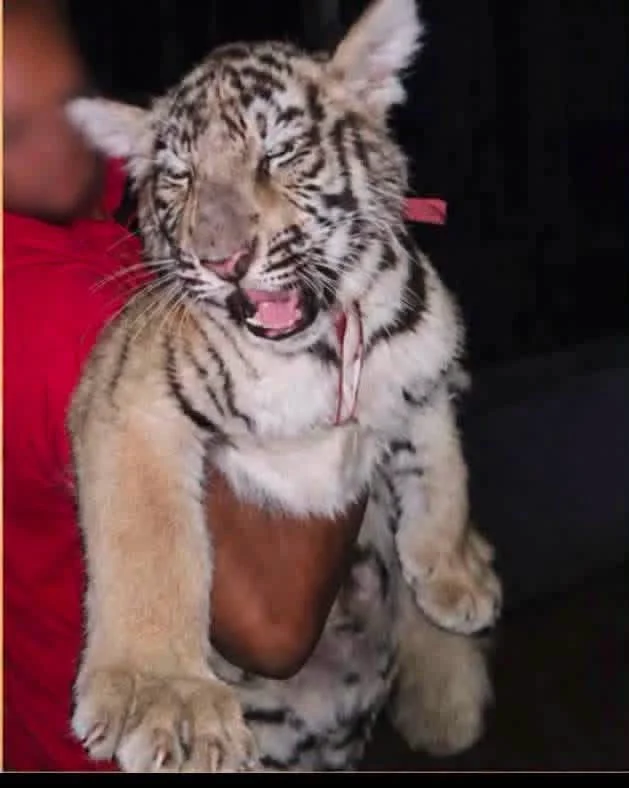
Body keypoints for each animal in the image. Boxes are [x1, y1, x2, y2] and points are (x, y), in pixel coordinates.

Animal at [65, 0, 502, 773]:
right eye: (179, 177)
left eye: (278, 154)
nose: (222, 260)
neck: (317, 352)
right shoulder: (131, 397)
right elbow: (151, 541)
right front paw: (166, 699)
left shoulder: (424, 364)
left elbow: (440, 463)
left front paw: (456, 574)